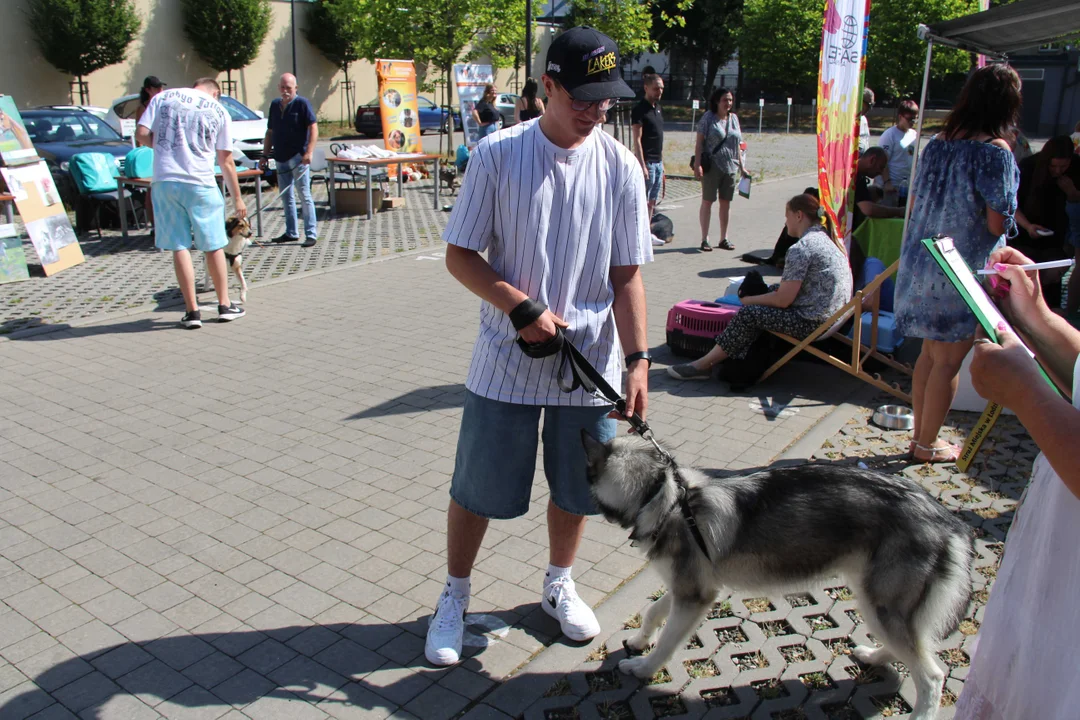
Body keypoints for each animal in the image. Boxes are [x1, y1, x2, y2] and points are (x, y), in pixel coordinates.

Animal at [587, 431, 976, 716]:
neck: (666, 499)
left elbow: (668, 642)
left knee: (931, 676)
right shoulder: (692, 589)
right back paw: (874, 657)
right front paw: (639, 641)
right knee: (908, 650)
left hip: (880, 607)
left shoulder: (694, 597)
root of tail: (947, 520)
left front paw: (643, 668)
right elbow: (653, 611)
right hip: (874, 603)